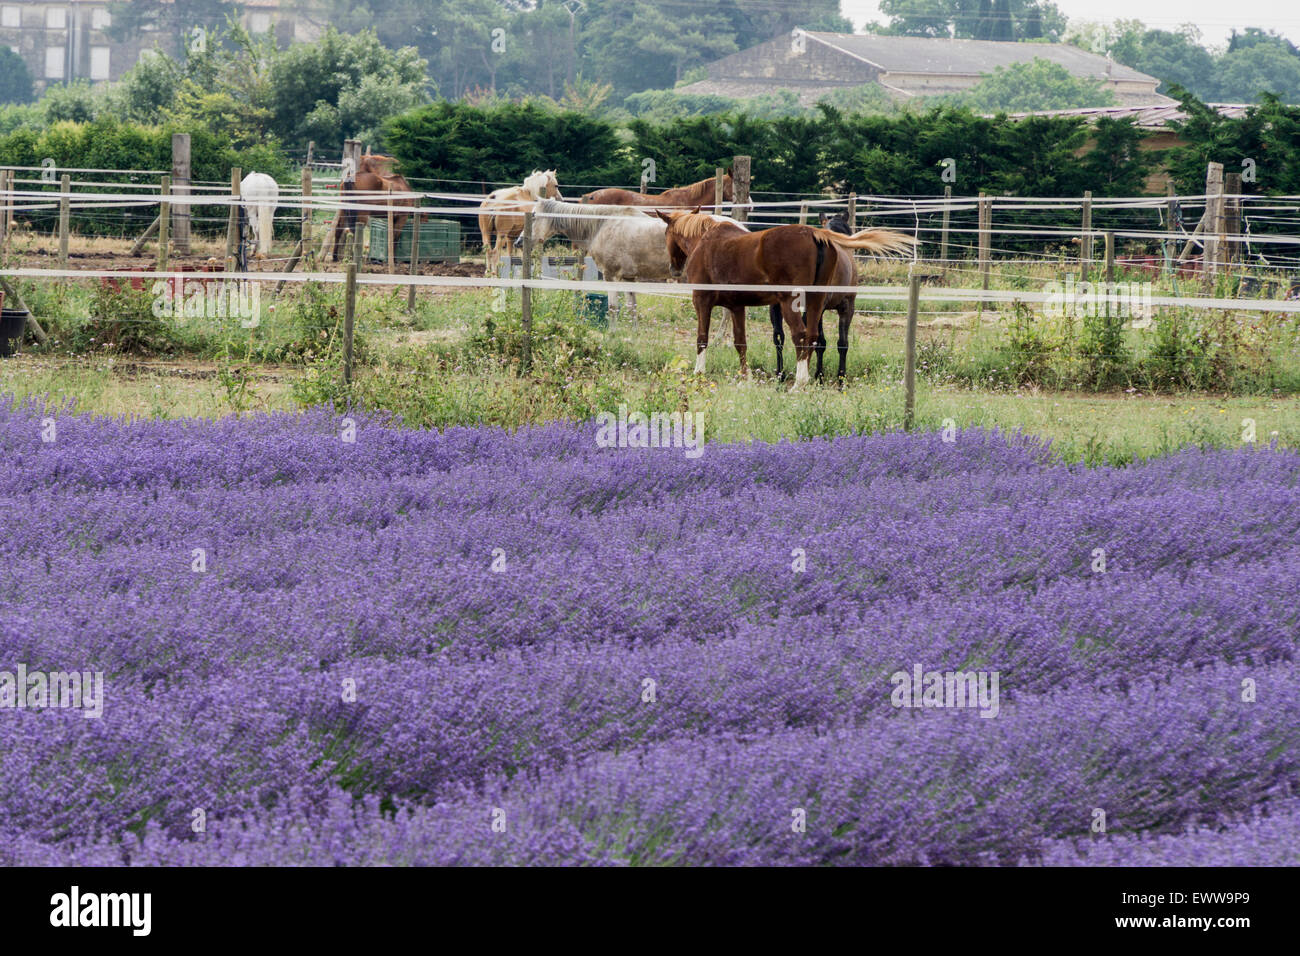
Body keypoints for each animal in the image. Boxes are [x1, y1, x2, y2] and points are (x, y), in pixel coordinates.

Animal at [650, 210, 915, 387]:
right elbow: (740, 342)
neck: (705, 241)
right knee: (813, 337)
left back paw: (799, 382)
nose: (674, 269)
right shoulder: (736, 306)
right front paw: (744, 377)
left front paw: (698, 373)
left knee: (800, 336)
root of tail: (815, 232)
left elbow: (702, 339)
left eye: (666, 233)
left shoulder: (702, 301)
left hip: (792, 303)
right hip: (816, 304)